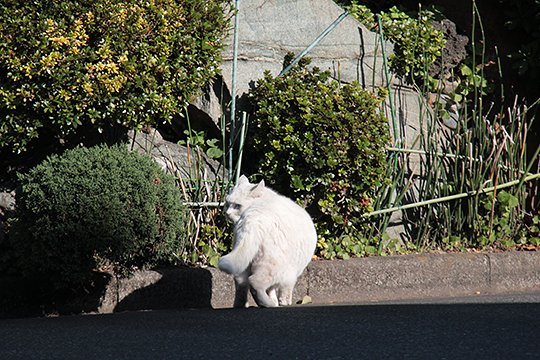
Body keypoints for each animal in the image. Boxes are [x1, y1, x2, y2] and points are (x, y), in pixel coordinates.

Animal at [218, 174, 316, 306]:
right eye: (228, 204)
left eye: (237, 206)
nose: (227, 213)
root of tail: (253, 218)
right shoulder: (290, 277)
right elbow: (285, 294)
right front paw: (282, 303)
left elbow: (271, 290)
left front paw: (274, 300)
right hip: (273, 266)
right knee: (254, 282)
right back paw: (266, 304)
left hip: (244, 263)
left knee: (241, 284)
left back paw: (242, 305)